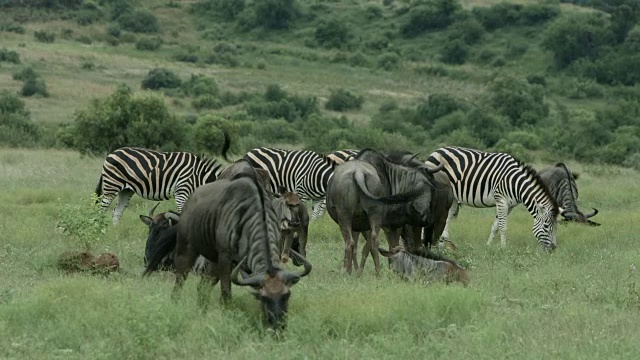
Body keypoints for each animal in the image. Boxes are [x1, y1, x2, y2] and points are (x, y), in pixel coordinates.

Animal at [95, 148, 225, 224]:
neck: (199, 176)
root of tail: (112, 153)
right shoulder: (182, 191)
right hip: (111, 185)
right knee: (102, 209)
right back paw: (102, 232)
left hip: (126, 190)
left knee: (117, 211)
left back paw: (115, 232)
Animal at [424, 146, 560, 250]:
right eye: (546, 226)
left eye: (556, 227)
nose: (553, 248)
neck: (516, 184)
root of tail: (437, 150)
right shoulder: (501, 200)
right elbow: (503, 226)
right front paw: (503, 248)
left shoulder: (510, 205)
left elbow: (495, 226)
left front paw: (488, 246)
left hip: (452, 198)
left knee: (447, 218)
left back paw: (443, 243)